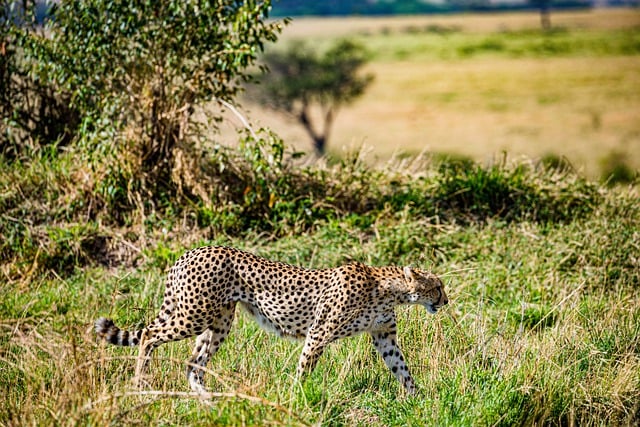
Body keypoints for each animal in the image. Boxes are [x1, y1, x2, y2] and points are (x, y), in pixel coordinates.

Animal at [95, 246, 448, 396]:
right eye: (438, 287)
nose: (445, 301)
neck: (387, 289)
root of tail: (190, 251)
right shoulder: (318, 333)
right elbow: (304, 368)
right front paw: (295, 397)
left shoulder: (384, 336)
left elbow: (402, 369)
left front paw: (419, 400)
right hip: (193, 314)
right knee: (149, 335)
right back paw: (141, 383)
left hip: (219, 322)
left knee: (193, 362)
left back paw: (206, 399)